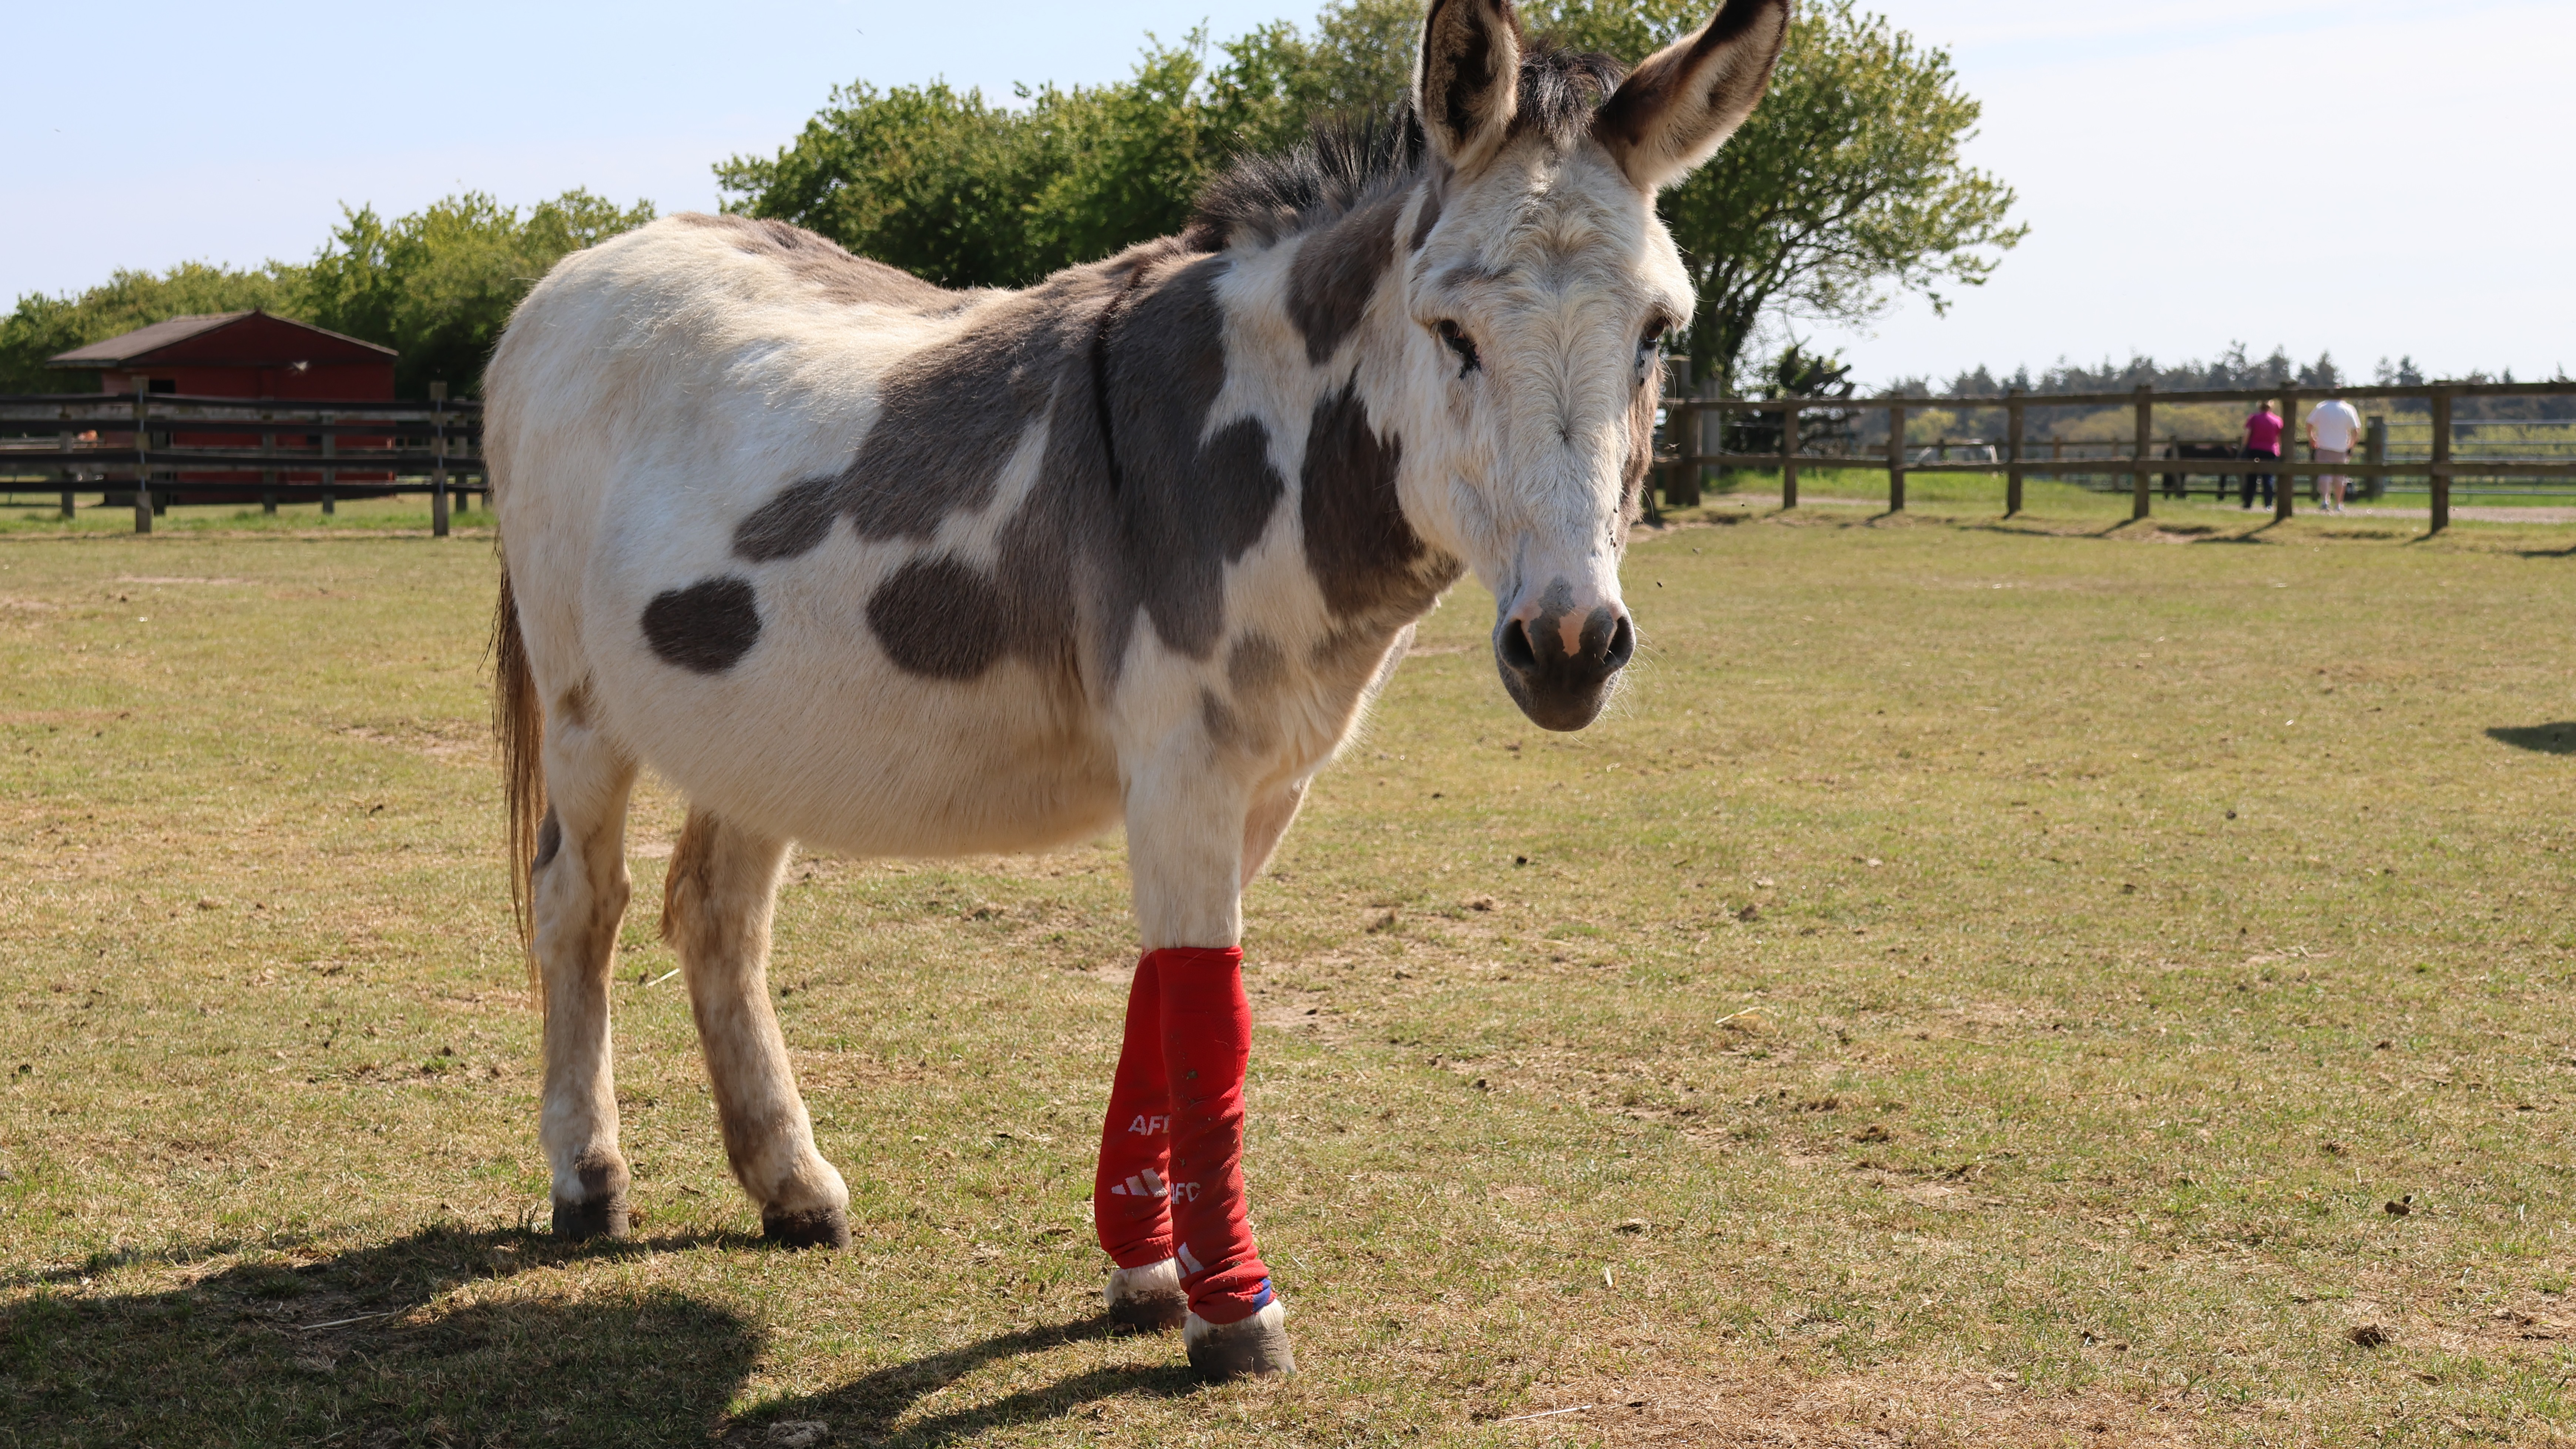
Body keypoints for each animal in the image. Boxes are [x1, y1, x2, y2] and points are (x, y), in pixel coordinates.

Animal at [484, 0, 1789, 1380]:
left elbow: (1163, 1001)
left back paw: (790, 1185)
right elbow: (1209, 1015)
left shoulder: (1264, 776)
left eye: (1657, 334)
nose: (1571, 644)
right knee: (580, 901)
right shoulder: (1183, 759)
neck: (1259, 443)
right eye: (1452, 333)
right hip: (583, 707)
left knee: (716, 916)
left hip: (756, 726)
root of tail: (581, 269)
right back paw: (587, 1177)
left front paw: (1146, 1271)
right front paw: (1234, 1310)